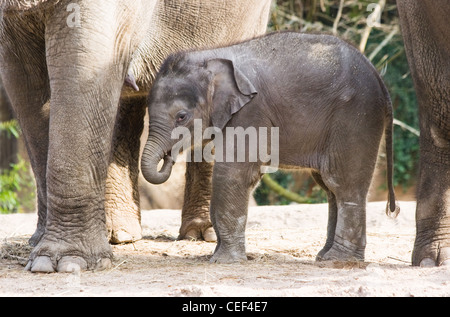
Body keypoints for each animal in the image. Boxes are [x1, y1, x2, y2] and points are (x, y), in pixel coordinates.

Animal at [0, 0, 270, 272]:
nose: (169, 156)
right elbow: (25, 84)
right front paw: (41, 251)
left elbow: (82, 67)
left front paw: (65, 262)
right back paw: (118, 234)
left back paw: (203, 234)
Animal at [142, 31, 400, 262]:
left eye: (181, 117)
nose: (169, 156)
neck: (210, 56)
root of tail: (381, 81)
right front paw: (218, 256)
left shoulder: (250, 112)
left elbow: (232, 173)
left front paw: (224, 261)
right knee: (329, 187)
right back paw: (324, 257)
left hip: (356, 119)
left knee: (343, 183)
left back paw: (339, 259)